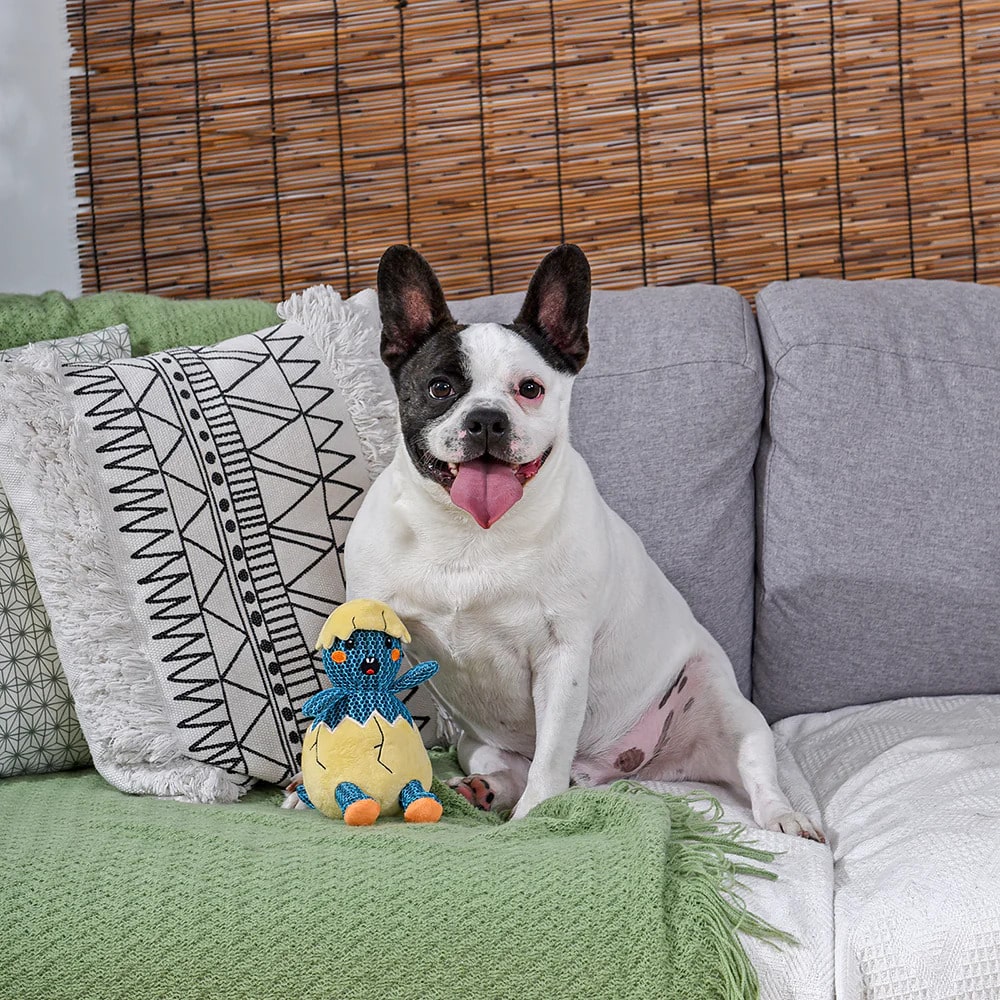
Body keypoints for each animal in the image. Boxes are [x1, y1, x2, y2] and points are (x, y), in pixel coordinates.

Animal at [289, 242, 823, 840]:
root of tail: (609, 771)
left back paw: (784, 816)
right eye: (440, 388)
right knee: (503, 764)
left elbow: (549, 757)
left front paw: (534, 821)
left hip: (728, 710)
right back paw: (484, 789)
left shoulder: (561, 656)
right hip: (474, 741)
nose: (487, 419)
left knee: (753, 768)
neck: (469, 533)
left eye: (530, 389)